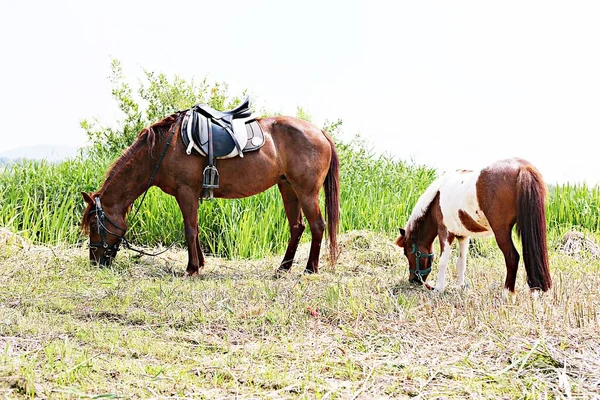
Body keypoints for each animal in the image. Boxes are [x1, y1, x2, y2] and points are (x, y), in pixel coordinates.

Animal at [81, 111, 340, 276]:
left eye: (94, 224)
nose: (95, 262)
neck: (162, 150)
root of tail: (320, 132)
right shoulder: (191, 195)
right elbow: (194, 230)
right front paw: (200, 263)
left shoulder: (185, 192)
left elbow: (189, 229)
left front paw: (192, 268)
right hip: (288, 188)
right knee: (297, 227)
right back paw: (283, 268)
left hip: (306, 192)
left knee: (317, 226)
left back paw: (310, 269)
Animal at [394, 158, 552, 296]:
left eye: (407, 253)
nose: (413, 280)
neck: (436, 198)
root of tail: (522, 167)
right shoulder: (463, 236)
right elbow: (461, 262)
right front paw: (461, 286)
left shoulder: (444, 232)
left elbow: (443, 262)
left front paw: (438, 289)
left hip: (501, 232)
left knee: (512, 258)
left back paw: (507, 294)